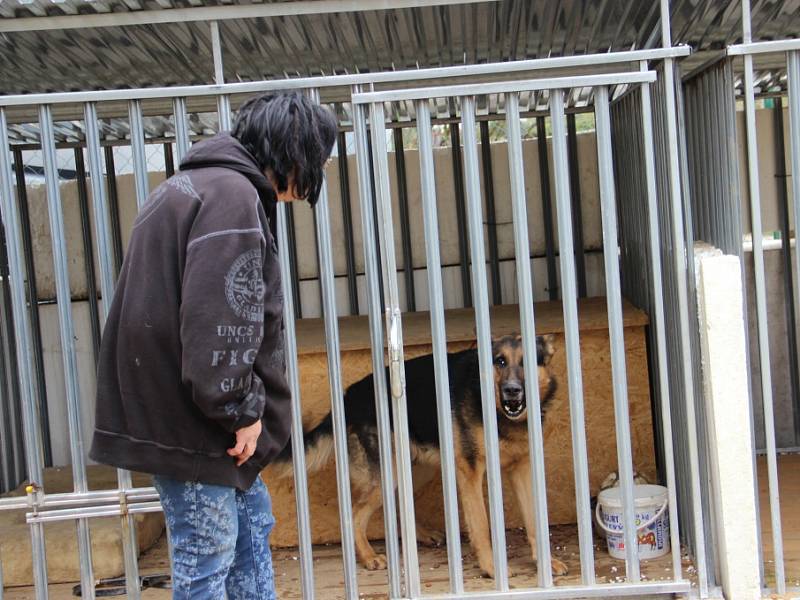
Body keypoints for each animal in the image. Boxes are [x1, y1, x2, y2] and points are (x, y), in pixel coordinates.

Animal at [276, 336, 568, 580]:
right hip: (390, 473)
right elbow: (481, 526)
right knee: (356, 514)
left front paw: (545, 563)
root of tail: (349, 396)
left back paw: (421, 535)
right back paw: (368, 557)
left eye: (527, 361)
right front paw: (492, 568)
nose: (512, 390)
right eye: (500, 361)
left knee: (397, 503)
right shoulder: (470, 472)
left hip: (418, 467)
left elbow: (535, 521)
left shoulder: (522, 470)